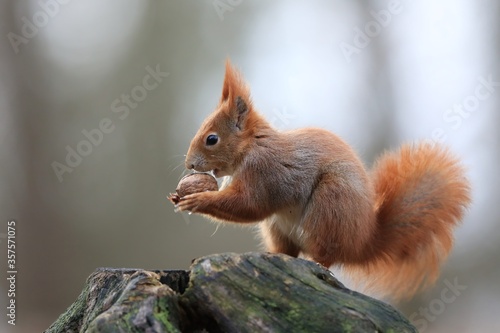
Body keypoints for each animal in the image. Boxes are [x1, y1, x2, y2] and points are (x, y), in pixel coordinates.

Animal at [176, 59, 472, 298]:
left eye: (211, 139)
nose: (189, 163)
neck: (251, 146)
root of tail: (362, 241)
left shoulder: (265, 172)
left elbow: (250, 205)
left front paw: (197, 199)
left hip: (330, 205)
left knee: (326, 256)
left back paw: (317, 262)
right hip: (278, 226)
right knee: (289, 251)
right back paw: (274, 255)